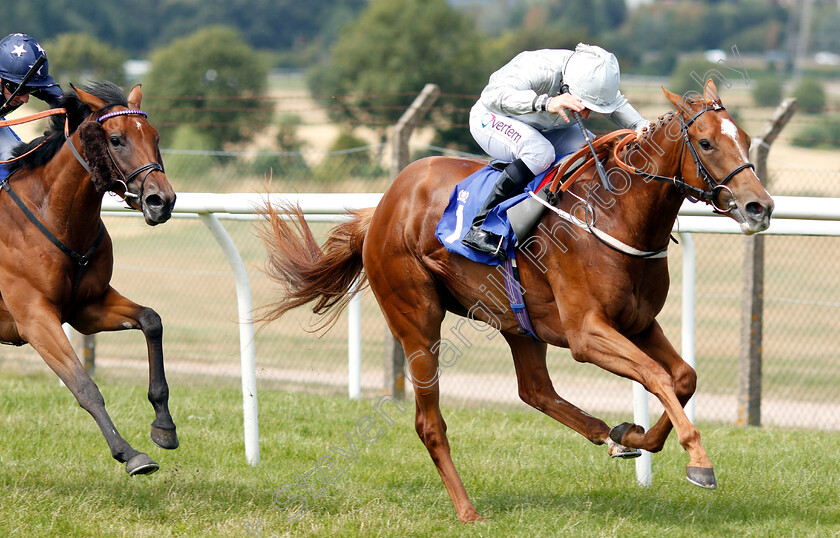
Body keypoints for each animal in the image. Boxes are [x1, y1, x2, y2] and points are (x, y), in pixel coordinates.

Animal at [1, 80, 179, 474]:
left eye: (155, 136)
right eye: (116, 139)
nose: (162, 200)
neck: (55, 218)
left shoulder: (87, 308)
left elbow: (152, 320)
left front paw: (163, 425)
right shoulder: (34, 318)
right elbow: (84, 386)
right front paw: (129, 453)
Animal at [260, 79, 776, 520]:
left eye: (748, 138)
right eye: (706, 143)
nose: (760, 207)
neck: (616, 216)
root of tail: (384, 205)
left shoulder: (639, 323)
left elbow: (683, 377)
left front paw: (638, 435)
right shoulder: (587, 333)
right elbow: (656, 376)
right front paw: (699, 460)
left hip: (518, 321)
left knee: (535, 390)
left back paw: (610, 433)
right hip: (417, 319)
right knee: (431, 423)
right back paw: (467, 510)